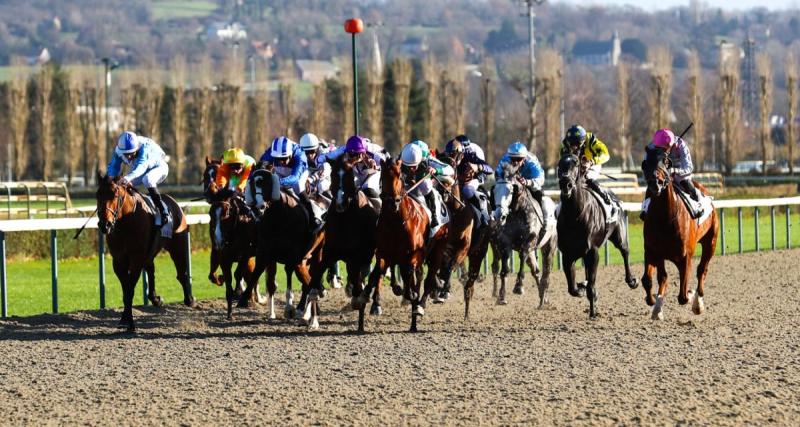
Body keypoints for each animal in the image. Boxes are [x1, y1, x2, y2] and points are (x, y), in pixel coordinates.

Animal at [95, 172, 195, 332]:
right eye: (98, 195)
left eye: (115, 195)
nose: (105, 225)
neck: (126, 221)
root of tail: (173, 202)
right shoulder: (119, 261)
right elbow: (126, 291)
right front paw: (124, 319)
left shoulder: (136, 259)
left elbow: (129, 290)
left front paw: (130, 323)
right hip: (149, 252)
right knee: (151, 270)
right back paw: (155, 299)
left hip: (177, 245)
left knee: (181, 273)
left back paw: (189, 299)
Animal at [356, 159, 450, 332]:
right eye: (382, 176)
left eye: (399, 175)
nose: (392, 202)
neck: (396, 221)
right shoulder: (383, 252)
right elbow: (376, 272)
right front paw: (366, 297)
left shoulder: (413, 254)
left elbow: (408, 273)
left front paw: (411, 296)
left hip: (438, 248)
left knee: (427, 278)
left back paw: (420, 305)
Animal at [488, 162, 556, 310]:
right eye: (494, 191)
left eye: (510, 191)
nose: (499, 215)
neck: (518, 211)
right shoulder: (504, 243)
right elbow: (505, 270)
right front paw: (501, 296)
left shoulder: (529, 241)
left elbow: (522, 255)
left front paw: (518, 286)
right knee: (536, 270)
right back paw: (542, 297)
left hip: (549, 246)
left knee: (546, 272)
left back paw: (543, 297)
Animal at [640, 149, 720, 320]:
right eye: (645, 163)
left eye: (666, 162)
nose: (655, 183)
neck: (664, 219)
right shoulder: (652, 252)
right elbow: (649, 279)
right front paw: (653, 303)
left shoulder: (685, 257)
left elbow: (683, 296)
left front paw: (690, 294)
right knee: (663, 278)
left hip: (710, 243)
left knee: (702, 270)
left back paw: (697, 303)